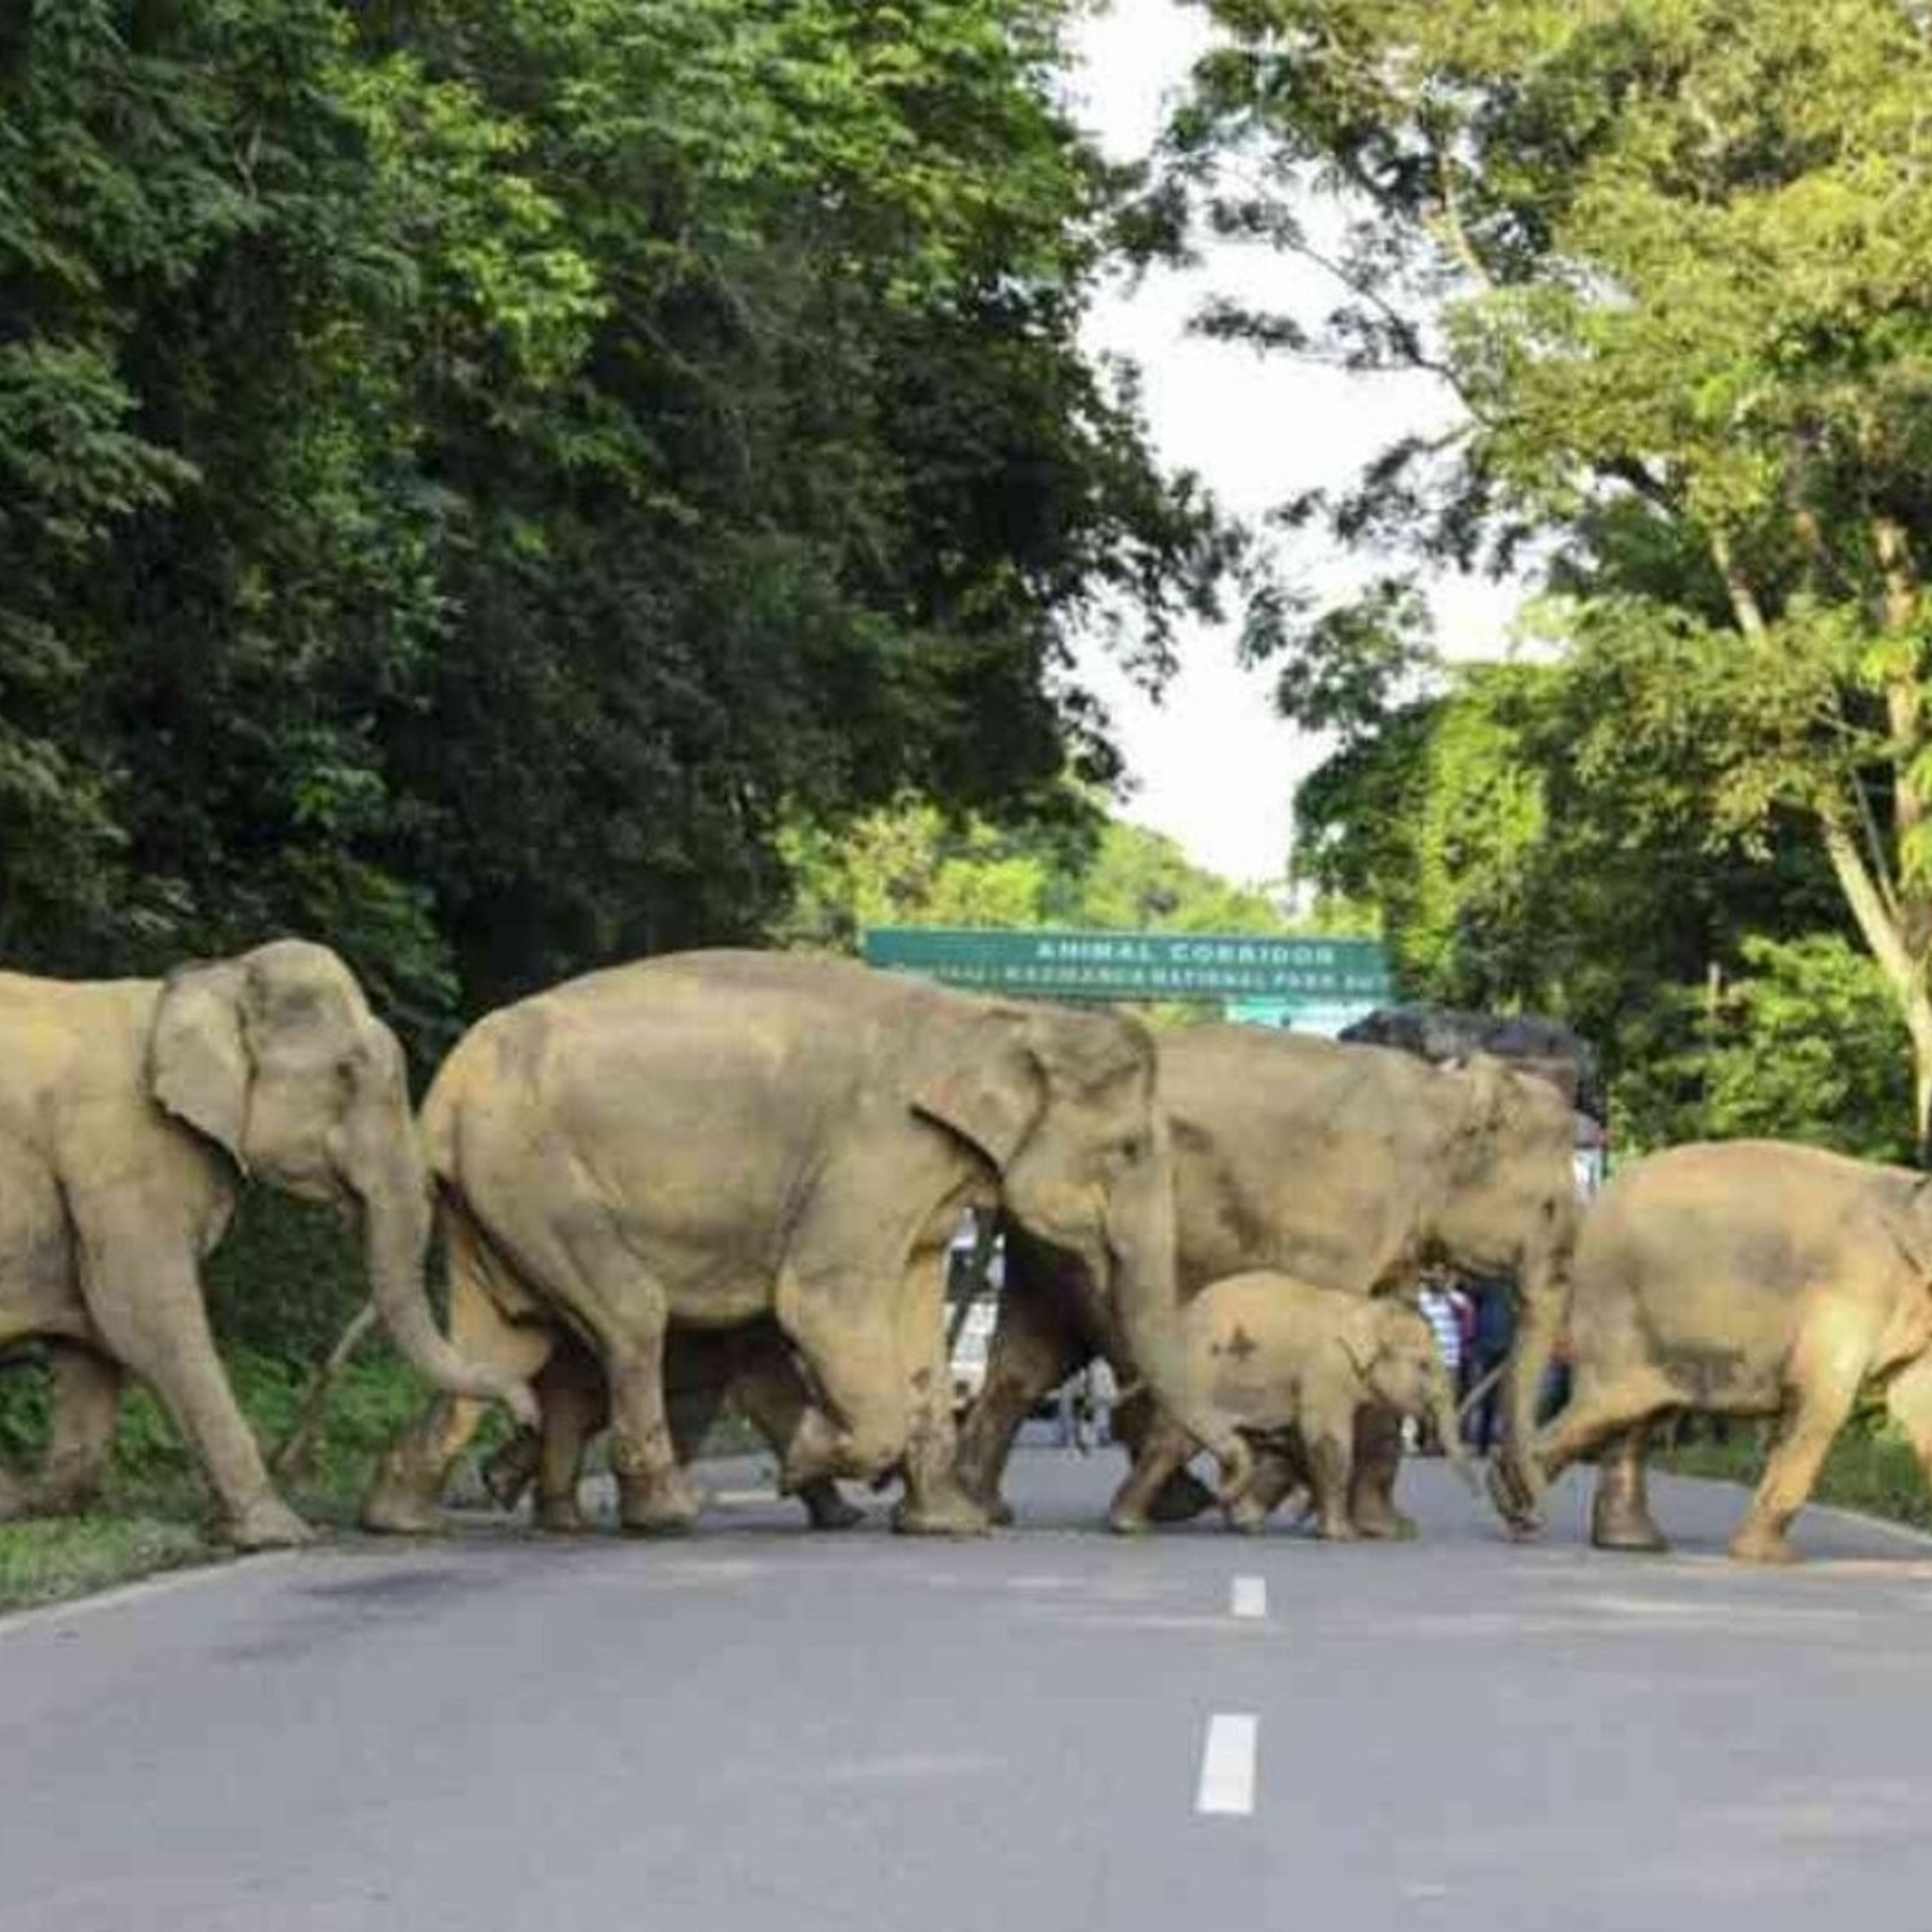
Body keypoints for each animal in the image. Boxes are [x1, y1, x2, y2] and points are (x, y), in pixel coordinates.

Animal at [0, 940, 534, 1548]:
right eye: (345, 1073)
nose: (526, 1423)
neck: (210, 981)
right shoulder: (122, 1154)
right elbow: (141, 1315)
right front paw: (280, 1533)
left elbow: (91, 1341)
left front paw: (32, 1502)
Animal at [1106, 1272, 1475, 1536]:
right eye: (1424, 1366)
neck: (1366, 1312)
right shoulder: (1327, 1371)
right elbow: (1328, 1437)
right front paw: (1342, 1535)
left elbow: (1300, 1439)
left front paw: (1251, 1519)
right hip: (1197, 1377)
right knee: (1179, 1442)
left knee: (1172, 1444)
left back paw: (1131, 1524)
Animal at [1497, 1139, 1932, 1564]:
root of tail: (1589, 1213)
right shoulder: (1849, 1290)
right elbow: (1822, 1403)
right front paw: (1767, 1557)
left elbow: (1919, 1402)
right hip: (1618, 1307)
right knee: (1617, 1402)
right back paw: (1513, 1500)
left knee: (1637, 1412)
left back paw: (1626, 1541)